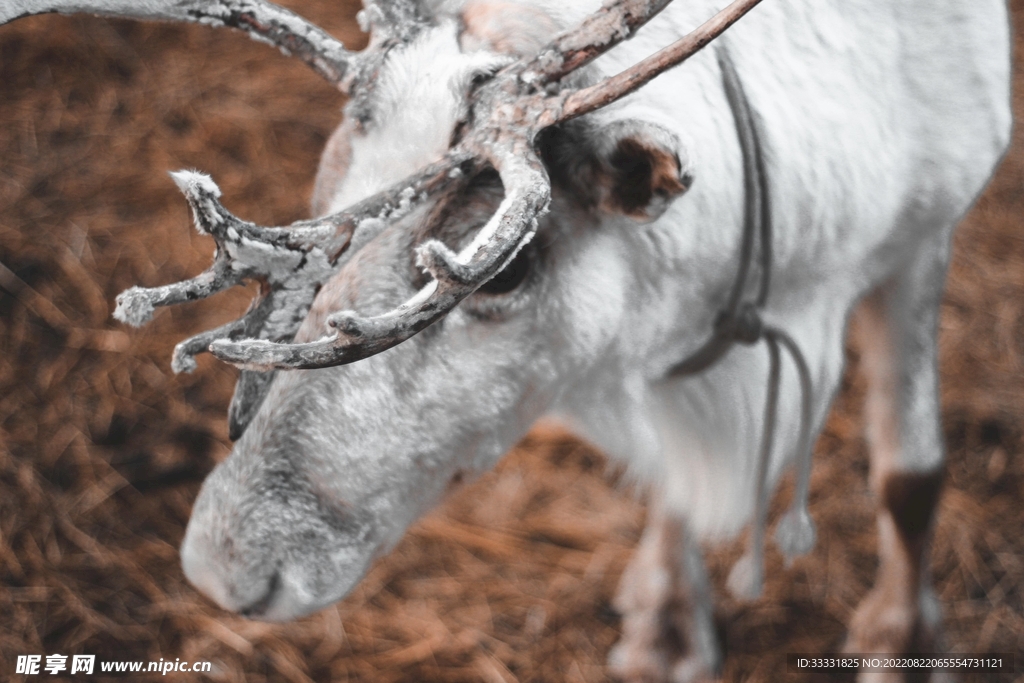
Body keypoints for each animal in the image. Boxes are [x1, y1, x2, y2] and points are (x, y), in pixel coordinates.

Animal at [2, 0, 1012, 680]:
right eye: (327, 188)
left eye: (502, 271)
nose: (221, 570)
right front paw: (664, 626)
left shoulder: (927, 229)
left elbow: (910, 475)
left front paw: (905, 638)